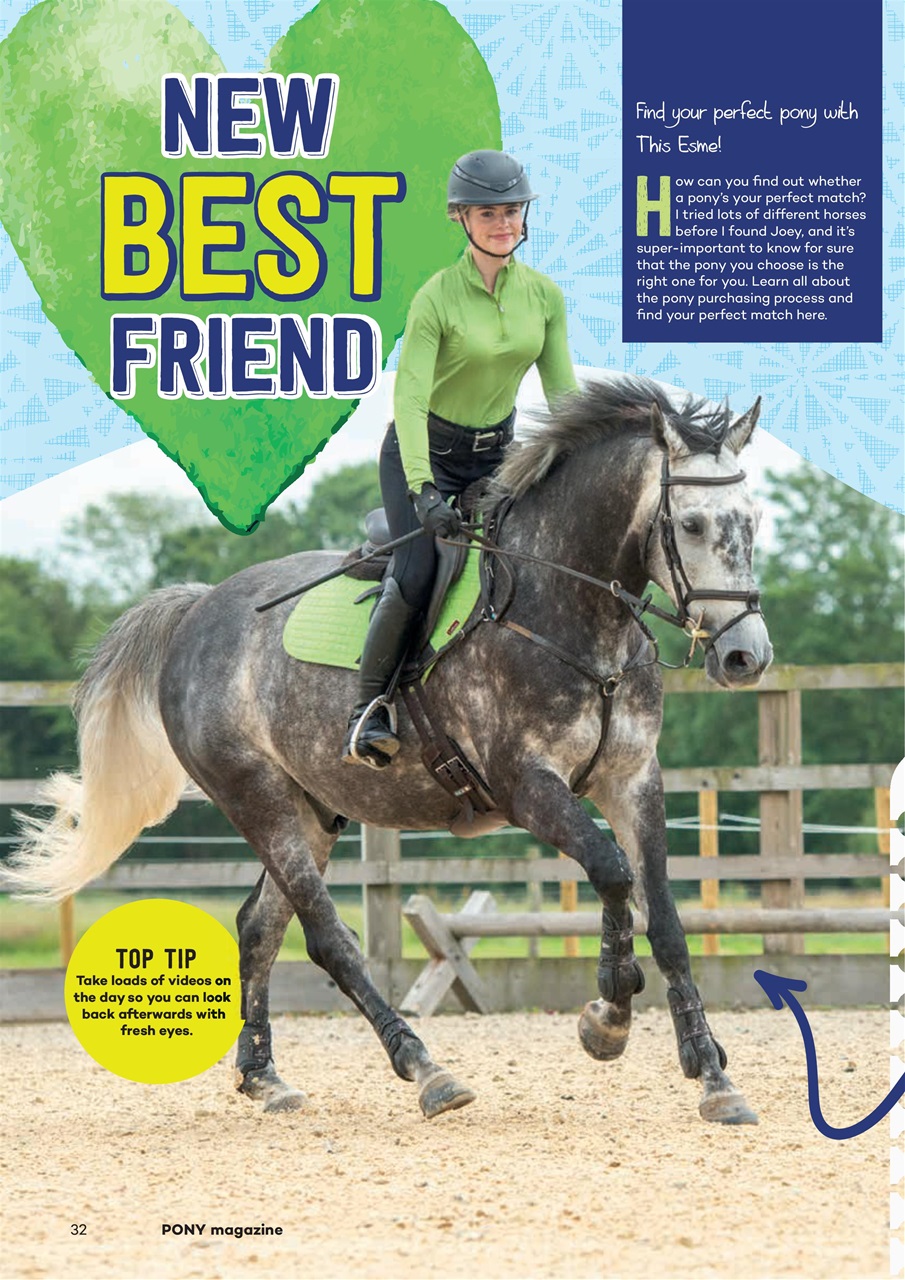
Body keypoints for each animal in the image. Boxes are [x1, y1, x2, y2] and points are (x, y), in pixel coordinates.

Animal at [11, 376, 772, 1125]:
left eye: (752, 520)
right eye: (692, 525)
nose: (745, 657)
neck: (571, 612)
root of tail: (198, 610)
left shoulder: (633, 780)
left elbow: (665, 919)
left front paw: (711, 1074)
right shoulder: (528, 786)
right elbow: (612, 873)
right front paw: (607, 1018)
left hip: (312, 809)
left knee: (259, 927)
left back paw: (265, 1079)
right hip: (255, 796)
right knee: (328, 939)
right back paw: (426, 1070)